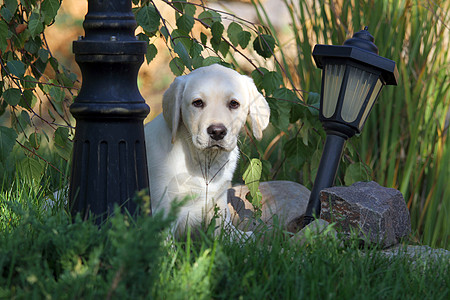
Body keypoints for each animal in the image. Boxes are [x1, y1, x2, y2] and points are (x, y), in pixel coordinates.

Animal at [146, 63, 268, 239]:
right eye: (197, 103)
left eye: (234, 104)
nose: (217, 132)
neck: (203, 160)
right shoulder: (162, 207)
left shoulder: (218, 199)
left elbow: (224, 225)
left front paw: (239, 237)